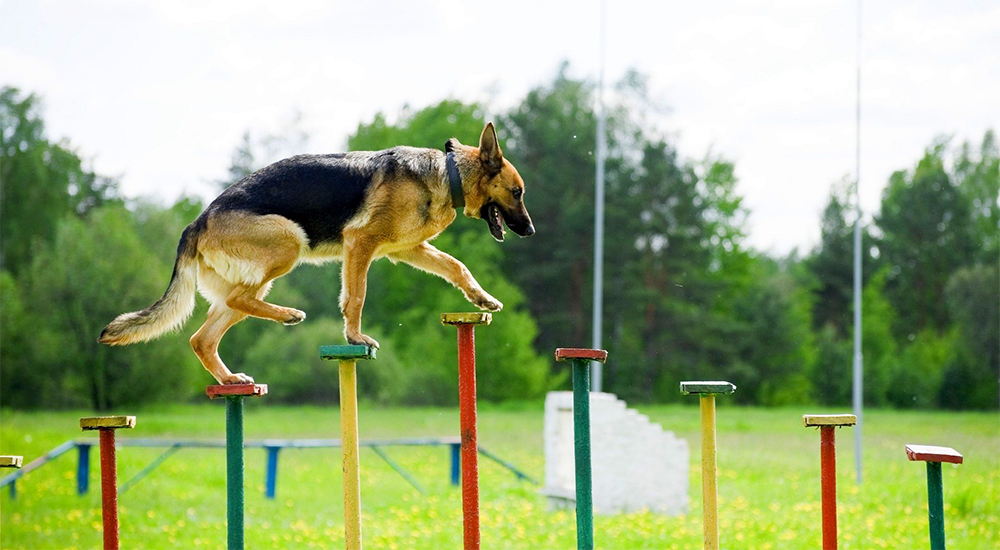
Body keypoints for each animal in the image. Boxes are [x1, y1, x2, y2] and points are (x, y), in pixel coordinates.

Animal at [101, 123, 536, 386]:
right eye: (517, 192)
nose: (531, 231)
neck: (448, 173)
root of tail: (198, 221)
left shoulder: (408, 250)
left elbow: (457, 266)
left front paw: (481, 298)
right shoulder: (360, 244)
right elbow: (356, 296)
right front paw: (355, 336)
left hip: (251, 278)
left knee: (203, 337)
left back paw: (230, 378)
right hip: (289, 242)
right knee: (238, 300)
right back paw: (289, 315)